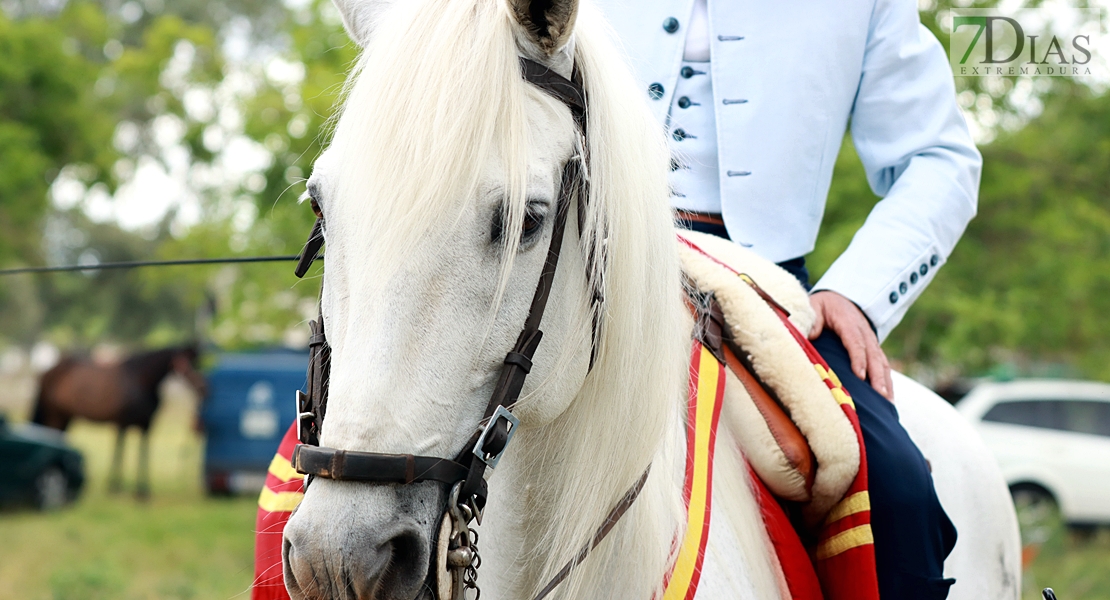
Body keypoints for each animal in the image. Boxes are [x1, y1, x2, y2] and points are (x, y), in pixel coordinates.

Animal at [33, 343, 208, 499]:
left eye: (199, 362)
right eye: (190, 364)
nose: (203, 387)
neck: (141, 380)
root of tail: (49, 372)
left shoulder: (146, 426)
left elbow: (142, 452)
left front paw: (142, 492)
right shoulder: (122, 423)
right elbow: (120, 451)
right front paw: (115, 488)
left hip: (66, 417)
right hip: (55, 416)